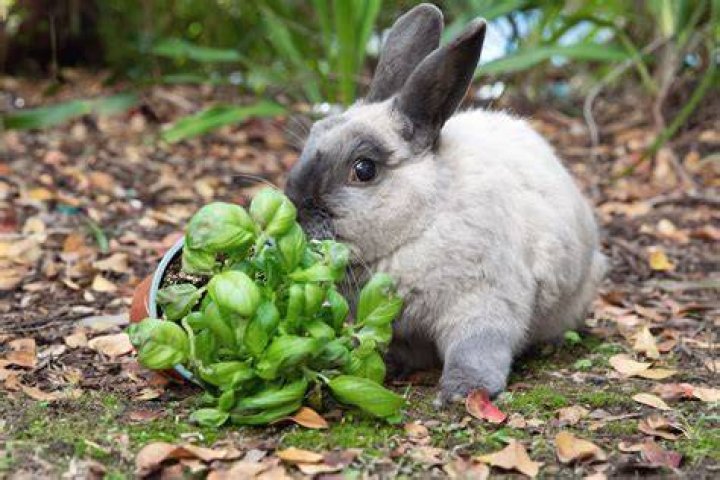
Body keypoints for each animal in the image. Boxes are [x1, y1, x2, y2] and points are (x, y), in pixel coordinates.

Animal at [285, 3, 606, 404]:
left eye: (364, 169)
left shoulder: (483, 302)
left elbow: (475, 348)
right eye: (313, 134)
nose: (295, 209)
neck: (421, 223)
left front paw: (461, 391)